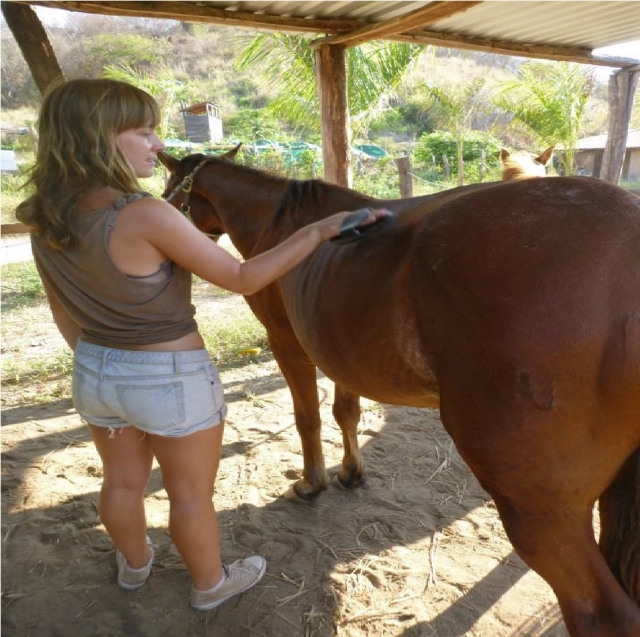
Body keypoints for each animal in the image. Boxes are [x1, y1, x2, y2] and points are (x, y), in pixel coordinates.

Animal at [158, 148, 640, 637]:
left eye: (170, 191)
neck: (281, 223)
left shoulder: (287, 344)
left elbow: (308, 418)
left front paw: (312, 482)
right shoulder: (340, 351)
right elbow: (345, 412)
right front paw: (351, 473)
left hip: (539, 511)